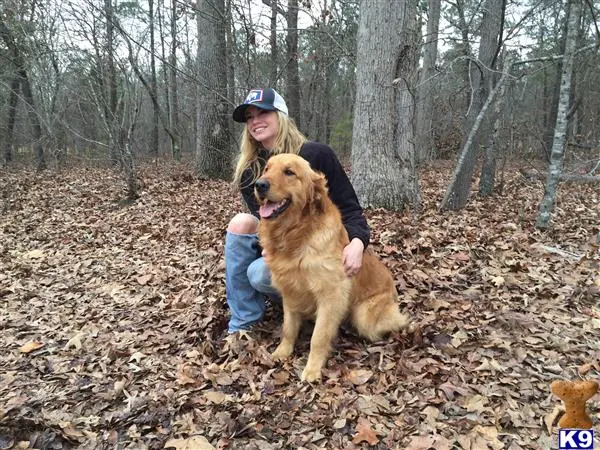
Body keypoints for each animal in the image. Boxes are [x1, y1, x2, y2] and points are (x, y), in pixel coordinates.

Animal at [253, 153, 408, 382]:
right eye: (266, 168)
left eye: (289, 172)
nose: (259, 185)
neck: (296, 235)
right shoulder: (290, 291)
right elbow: (288, 328)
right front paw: (283, 351)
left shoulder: (330, 295)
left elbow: (318, 337)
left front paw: (312, 369)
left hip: (365, 315)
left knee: (396, 320)